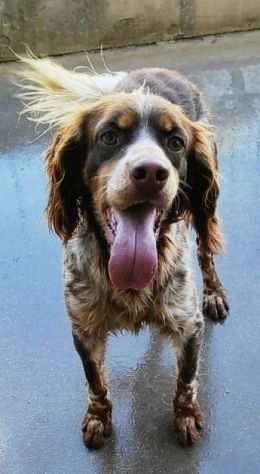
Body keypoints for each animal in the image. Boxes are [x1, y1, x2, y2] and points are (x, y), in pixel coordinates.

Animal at [17, 55, 228, 448]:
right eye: (109, 136)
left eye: (175, 142)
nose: (151, 172)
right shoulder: (83, 329)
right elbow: (96, 382)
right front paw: (98, 419)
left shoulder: (189, 325)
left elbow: (186, 382)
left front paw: (186, 417)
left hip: (205, 212)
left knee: (206, 253)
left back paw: (215, 292)